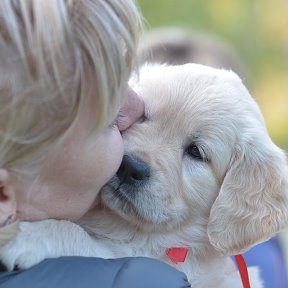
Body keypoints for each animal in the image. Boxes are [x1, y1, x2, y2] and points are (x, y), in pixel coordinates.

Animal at [0, 63, 288, 288]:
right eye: (143, 117)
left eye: (196, 152)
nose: (129, 168)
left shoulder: (149, 259)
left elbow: (79, 236)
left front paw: (24, 234)